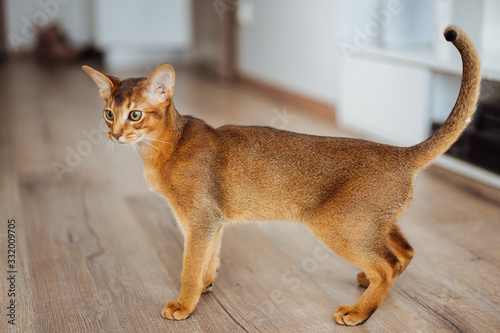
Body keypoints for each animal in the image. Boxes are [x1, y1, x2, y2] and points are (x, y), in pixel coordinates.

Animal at [82, 25, 480, 324]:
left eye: (135, 115)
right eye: (108, 113)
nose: (114, 134)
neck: (168, 145)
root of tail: (400, 152)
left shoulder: (199, 218)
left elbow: (190, 264)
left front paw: (184, 303)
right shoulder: (214, 219)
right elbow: (211, 255)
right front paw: (208, 284)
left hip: (336, 222)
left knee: (387, 264)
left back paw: (359, 311)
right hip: (371, 222)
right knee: (403, 253)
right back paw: (366, 283)